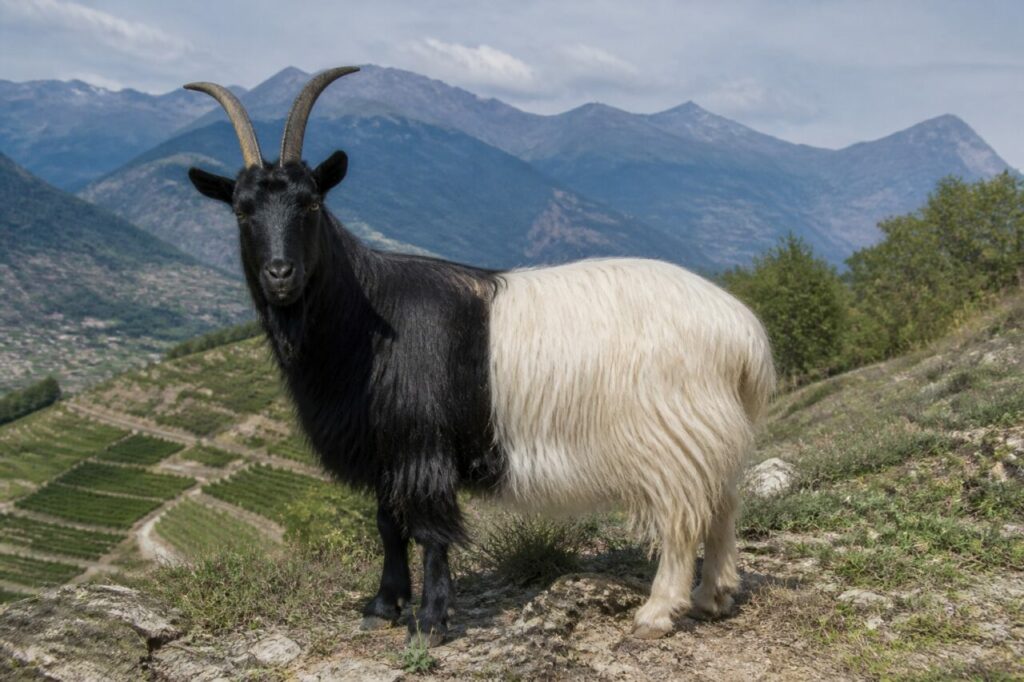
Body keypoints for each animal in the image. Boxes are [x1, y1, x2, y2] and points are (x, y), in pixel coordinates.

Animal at [185, 67, 776, 646]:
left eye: (311, 203)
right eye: (241, 210)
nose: (280, 275)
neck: (369, 316)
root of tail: (742, 334)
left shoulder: (422, 445)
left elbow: (429, 530)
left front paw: (430, 622)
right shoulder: (387, 449)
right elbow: (387, 524)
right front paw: (384, 606)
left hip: (672, 438)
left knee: (683, 519)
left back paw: (658, 610)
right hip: (708, 436)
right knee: (722, 506)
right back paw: (714, 596)